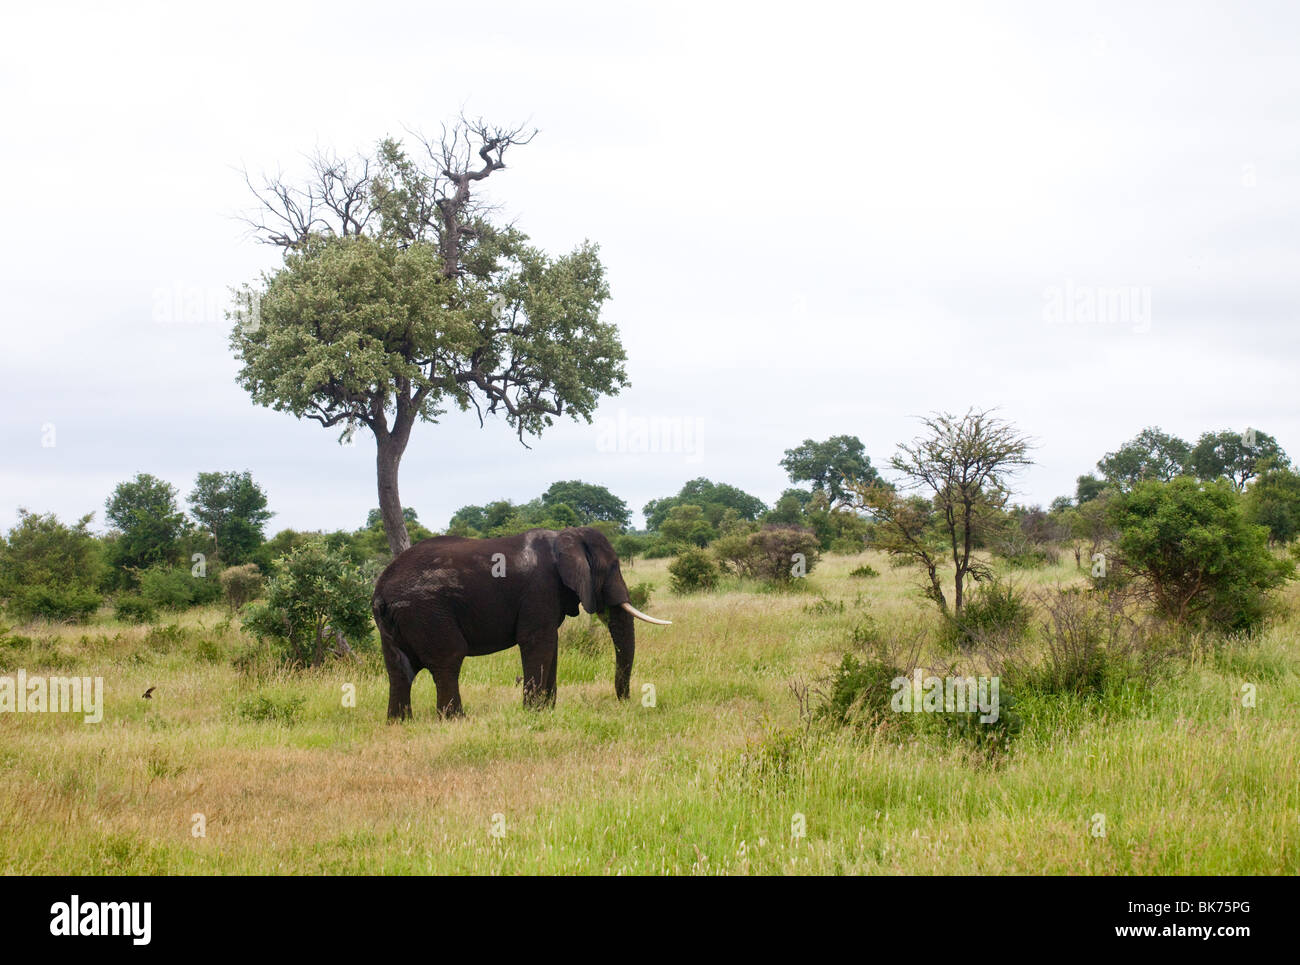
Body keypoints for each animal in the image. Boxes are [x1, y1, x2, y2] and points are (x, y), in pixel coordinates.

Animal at [369, 525, 665, 723]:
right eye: (613, 567)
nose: (625, 701)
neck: (564, 536)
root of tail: (381, 589)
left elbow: (551, 645)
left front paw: (547, 710)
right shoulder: (540, 587)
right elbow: (538, 641)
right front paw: (534, 712)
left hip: (395, 622)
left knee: (399, 669)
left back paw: (399, 723)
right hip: (427, 611)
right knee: (448, 660)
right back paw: (456, 720)